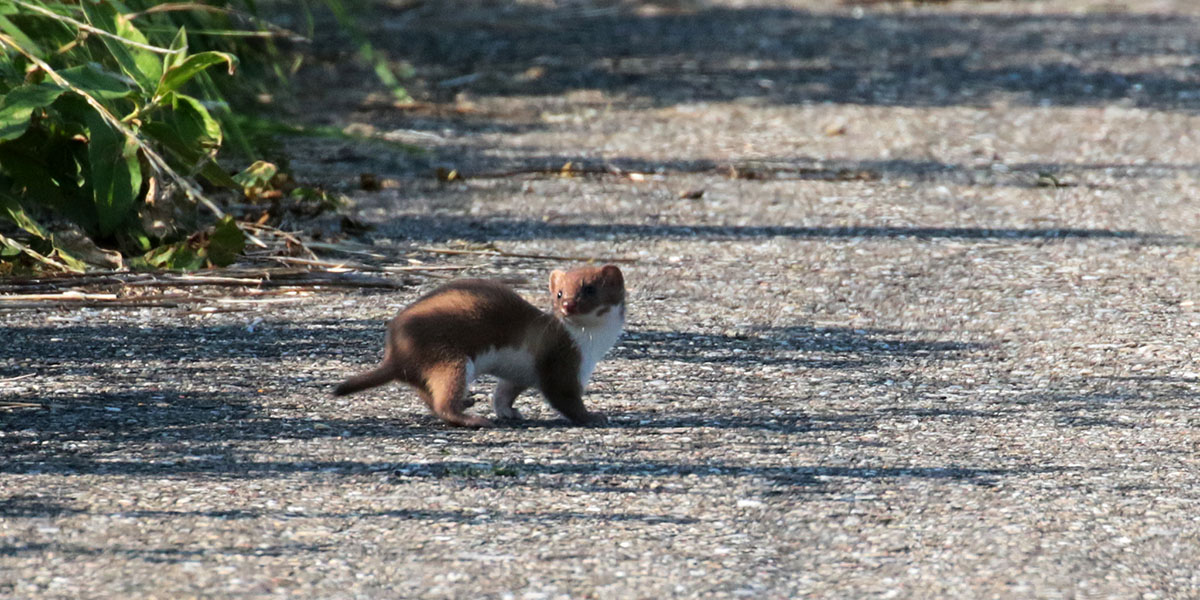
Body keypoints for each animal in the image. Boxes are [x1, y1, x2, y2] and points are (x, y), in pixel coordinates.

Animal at [333, 264, 624, 427]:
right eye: (560, 293)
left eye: (589, 289)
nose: (568, 305)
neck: (593, 346)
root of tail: (395, 352)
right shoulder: (562, 362)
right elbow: (564, 398)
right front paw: (593, 417)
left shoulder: (520, 373)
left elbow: (504, 393)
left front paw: (509, 412)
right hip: (452, 359)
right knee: (443, 401)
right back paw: (472, 418)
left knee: (427, 394)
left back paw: (467, 402)